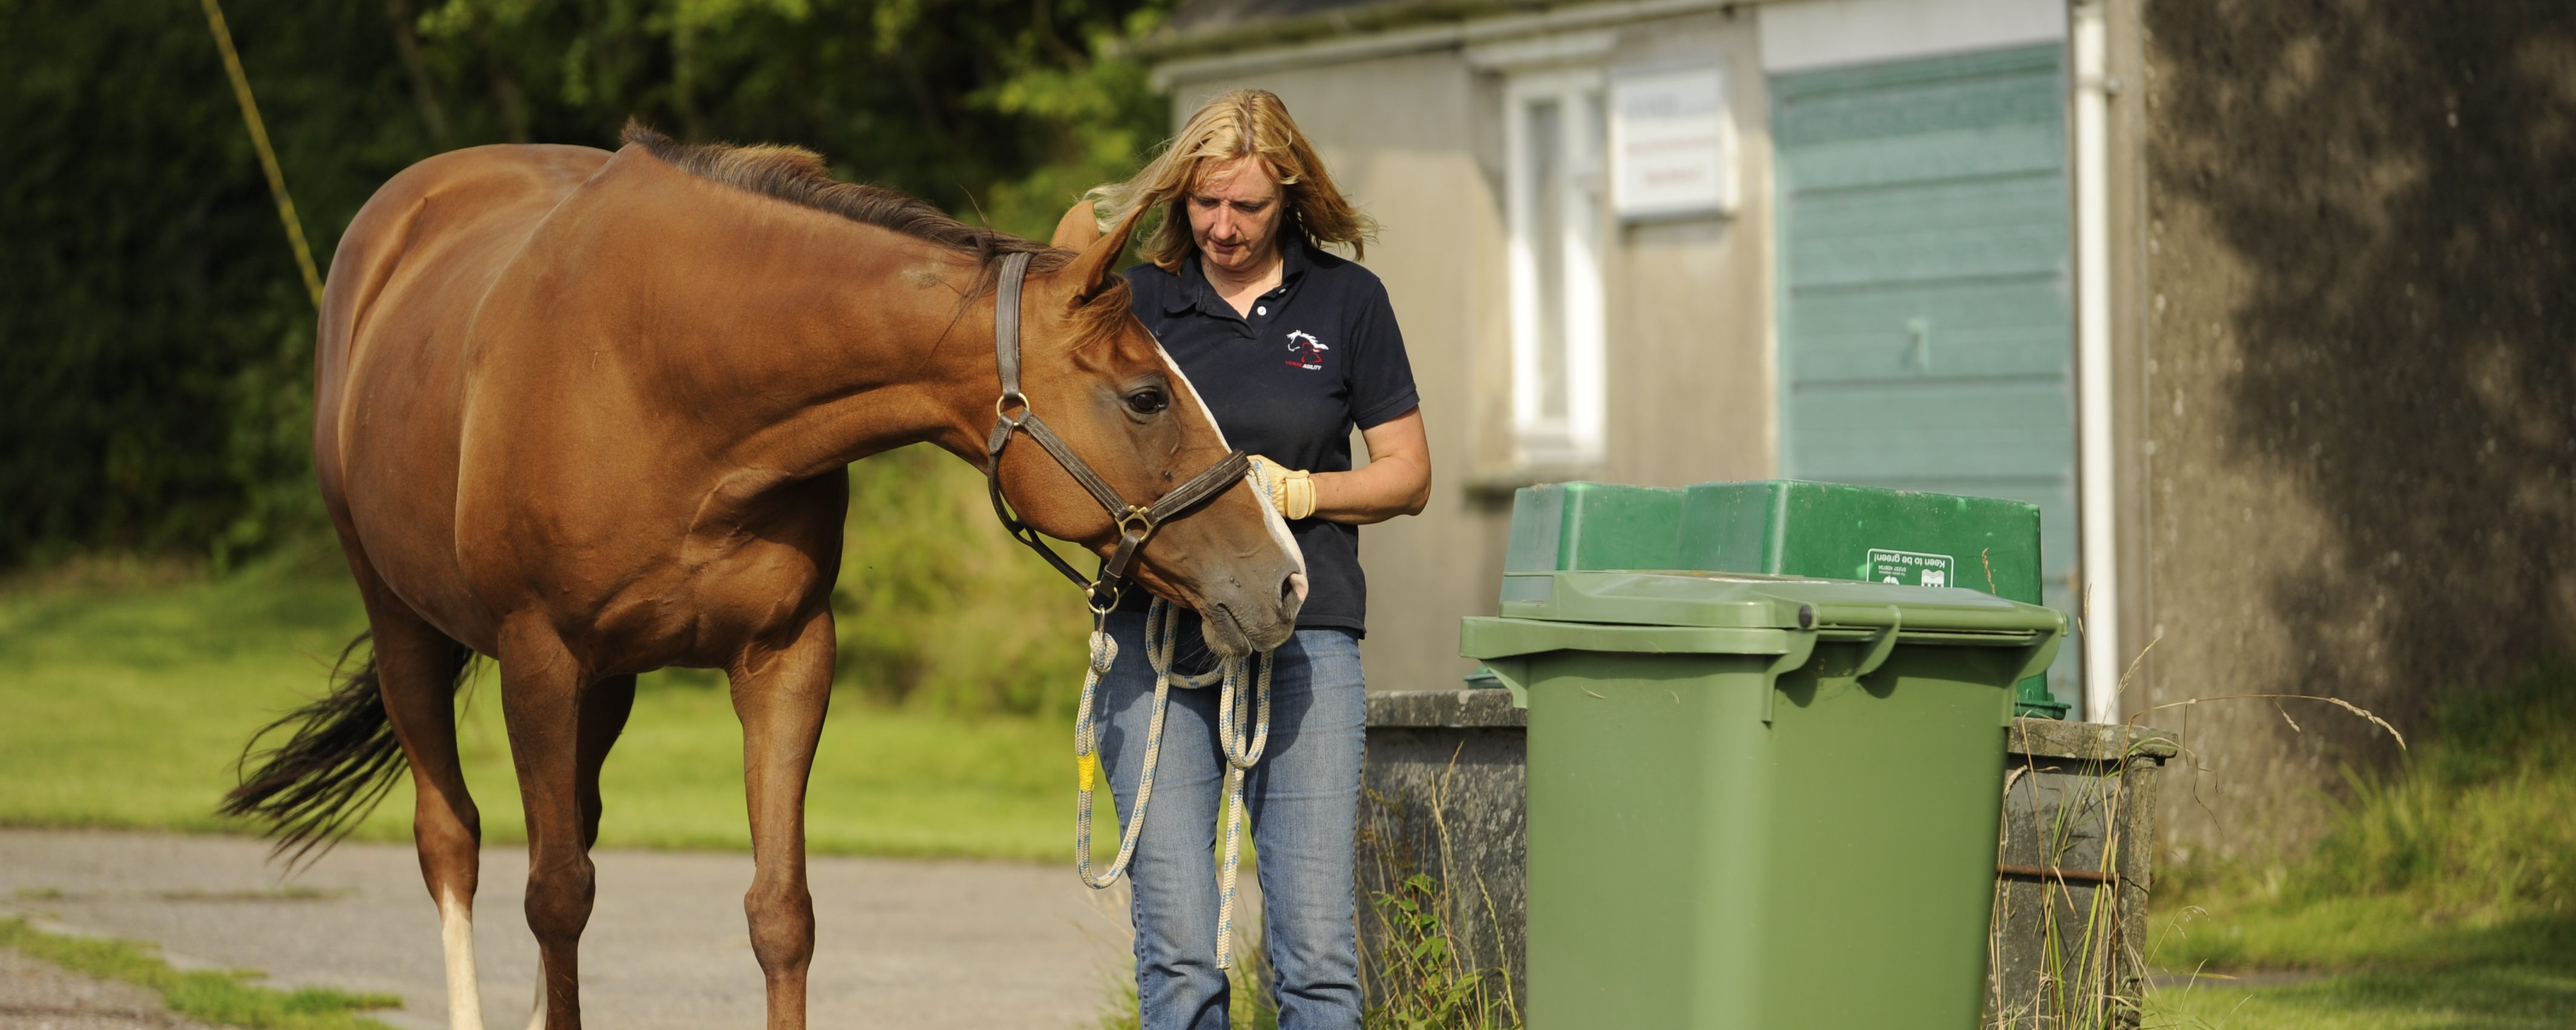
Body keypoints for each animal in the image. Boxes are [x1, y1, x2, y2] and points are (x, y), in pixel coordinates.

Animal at [222, 126, 1309, 1030]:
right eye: (1147, 394)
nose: (1284, 578)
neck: (665, 373)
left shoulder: (783, 657)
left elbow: (778, 909)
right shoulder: (540, 659)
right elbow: (554, 895)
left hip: (605, 686)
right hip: (404, 624)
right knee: (454, 842)